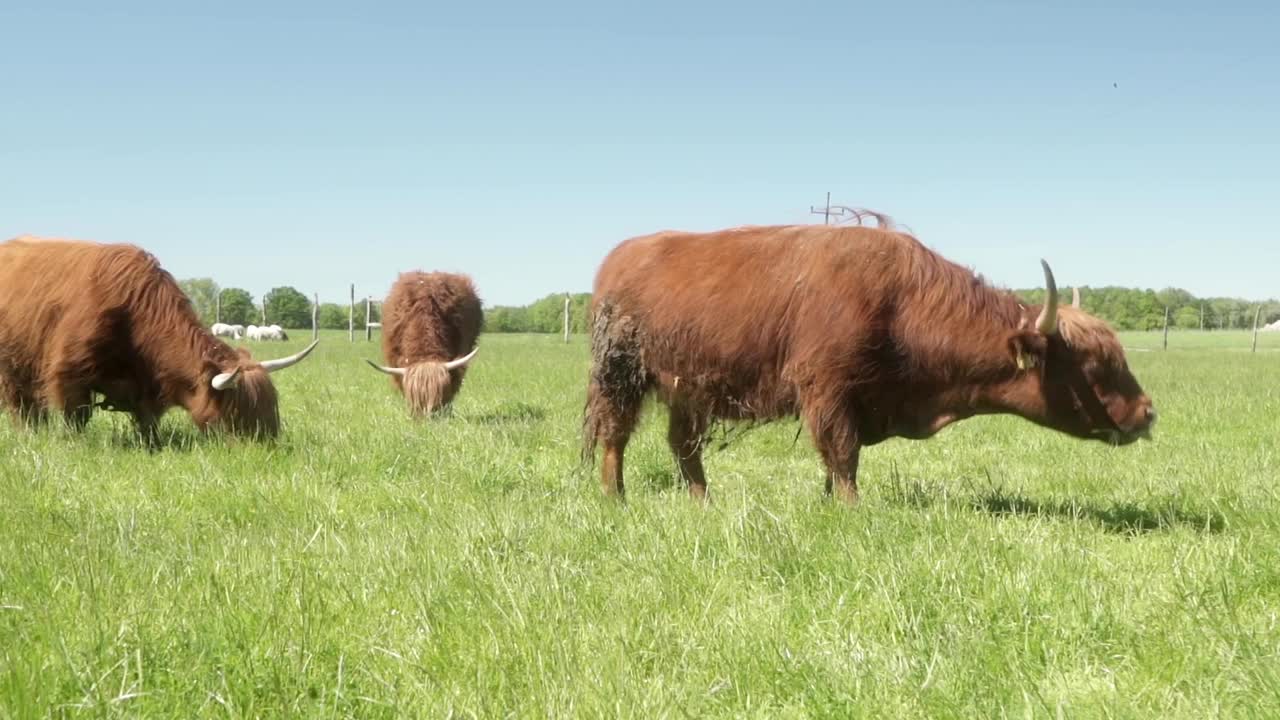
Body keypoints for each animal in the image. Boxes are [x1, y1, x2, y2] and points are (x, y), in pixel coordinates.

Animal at [0, 237, 318, 438]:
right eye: (238, 412)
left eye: (270, 407)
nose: (268, 446)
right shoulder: (69, 372)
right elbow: (76, 415)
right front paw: (73, 443)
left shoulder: (147, 384)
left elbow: (148, 420)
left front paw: (152, 444)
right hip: (12, 365)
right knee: (22, 404)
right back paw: (29, 434)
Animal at [586, 215, 1162, 502]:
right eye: (1095, 366)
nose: (1148, 413)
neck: (903, 302)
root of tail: (620, 256)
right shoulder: (827, 391)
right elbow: (842, 456)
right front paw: (849, 509)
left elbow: (838, 458)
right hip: (622, 378)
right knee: (616, 436)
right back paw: (616, 500)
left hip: (687, 388)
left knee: (683, 446)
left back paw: (703, 502)